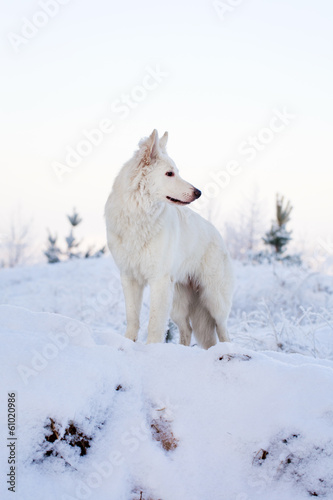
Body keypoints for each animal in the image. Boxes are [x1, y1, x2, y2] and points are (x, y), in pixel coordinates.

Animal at [105, 131, 233, 348]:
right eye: (169, 174)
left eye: (177, 172)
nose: (198, 192)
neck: (139, 216)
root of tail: (219, 236)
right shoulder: (129, 277)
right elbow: (133, 319)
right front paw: (128, 344)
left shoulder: (159, 281)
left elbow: (154, 324)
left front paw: (151, 349)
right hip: (177, 304)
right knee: (187, 329)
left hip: (214, 301)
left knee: (224, 331)